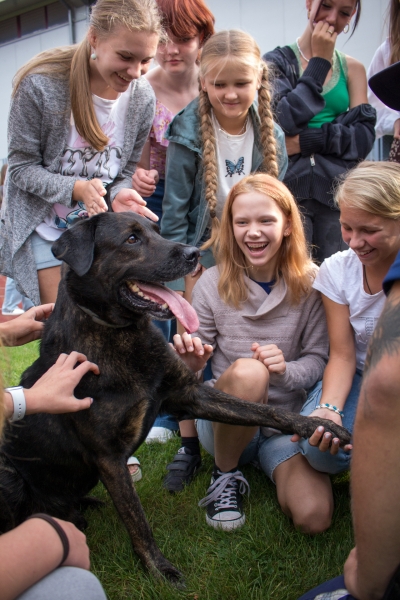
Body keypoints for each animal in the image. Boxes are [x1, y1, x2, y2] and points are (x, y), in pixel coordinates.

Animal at [0, 211, 350, 580]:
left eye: (156, 230)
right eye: (132, 239)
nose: (193, 253)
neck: (122, 334)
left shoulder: (190, 395)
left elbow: (266, 411)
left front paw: (321, 427)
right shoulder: (110, 457)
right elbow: (137, 521)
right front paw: (160, 570)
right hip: (9, 475)